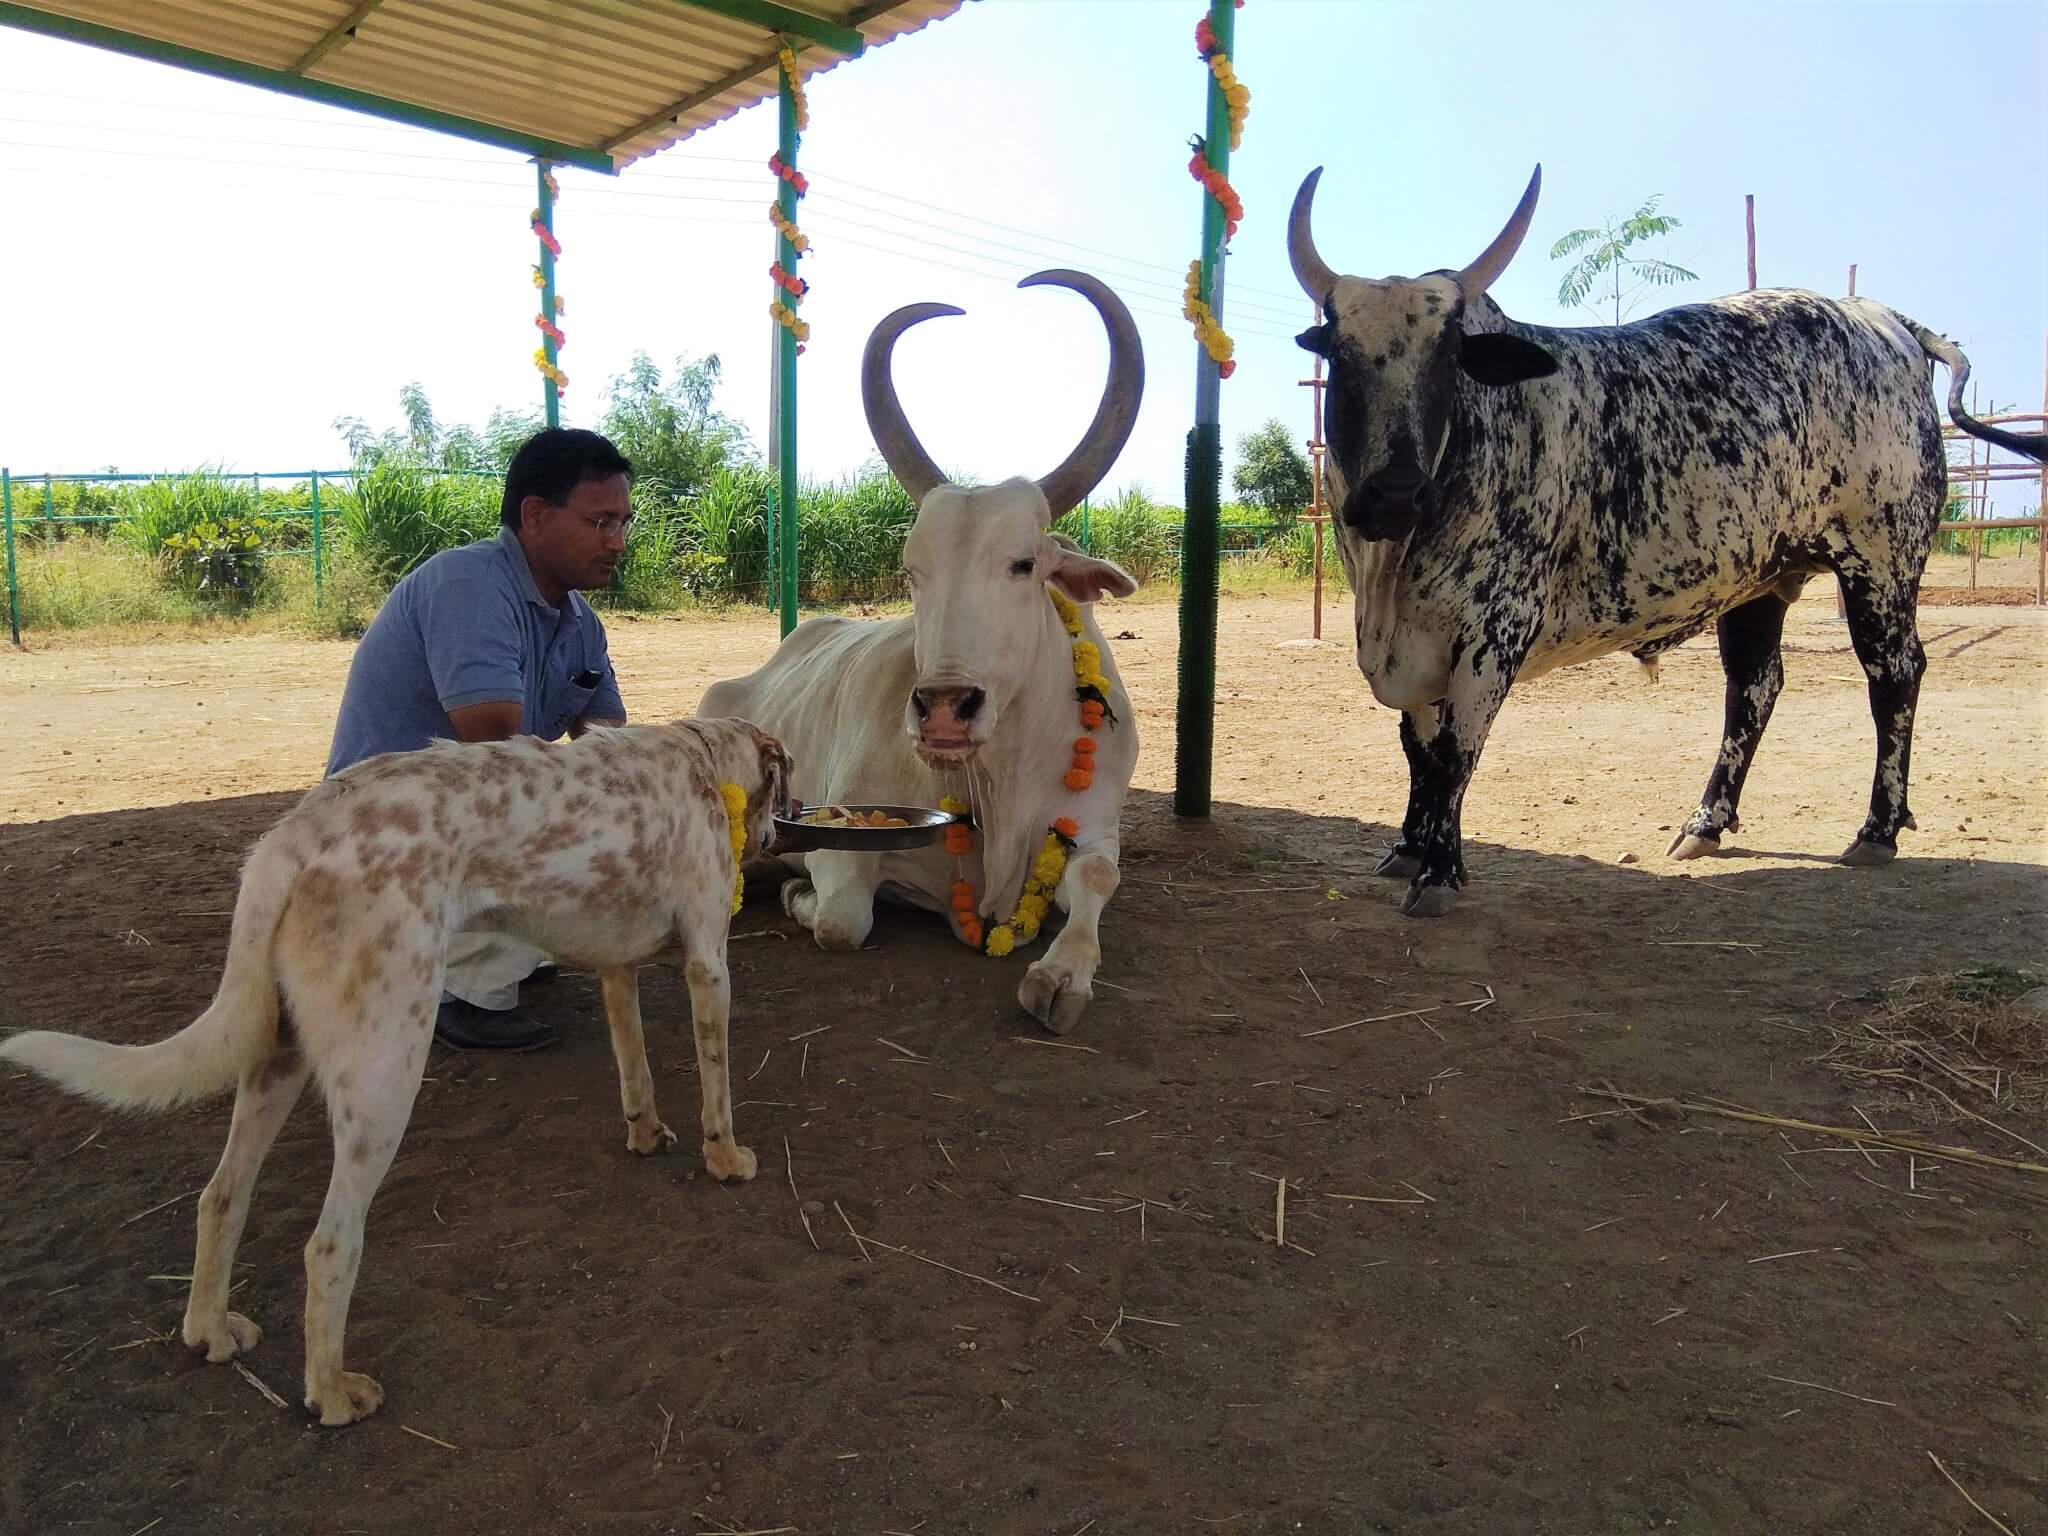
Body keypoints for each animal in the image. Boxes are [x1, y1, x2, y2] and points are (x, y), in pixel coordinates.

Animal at [0, 720, 786, 1433]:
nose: (781, 834)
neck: (701, 759)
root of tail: (294, 834)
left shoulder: (617, 971)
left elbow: (636, 1072)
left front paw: (647, 1135)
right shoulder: (709, 965)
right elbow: (716, 1086)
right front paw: (727, 1160)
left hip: (276, 1061)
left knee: (221, 1196)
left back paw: (212, 1330)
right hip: (387, 1072)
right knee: (328, 1245)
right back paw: (332, 1394)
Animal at [1286, 165, 2039, 913]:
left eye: (1448, 359)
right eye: (1342, 357)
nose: (1394, 495)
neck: (1391, 572)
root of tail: (1884, 320)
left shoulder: (1493, 634)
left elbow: (1453, 756)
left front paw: (1440, 870)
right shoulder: (1410, 642)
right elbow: (1417, 748)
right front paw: (1410, 846)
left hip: (1881, 564)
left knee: (1894, 675)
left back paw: (1878, 829)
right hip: (1761, 578)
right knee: (1755, 687)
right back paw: (1706, 821)